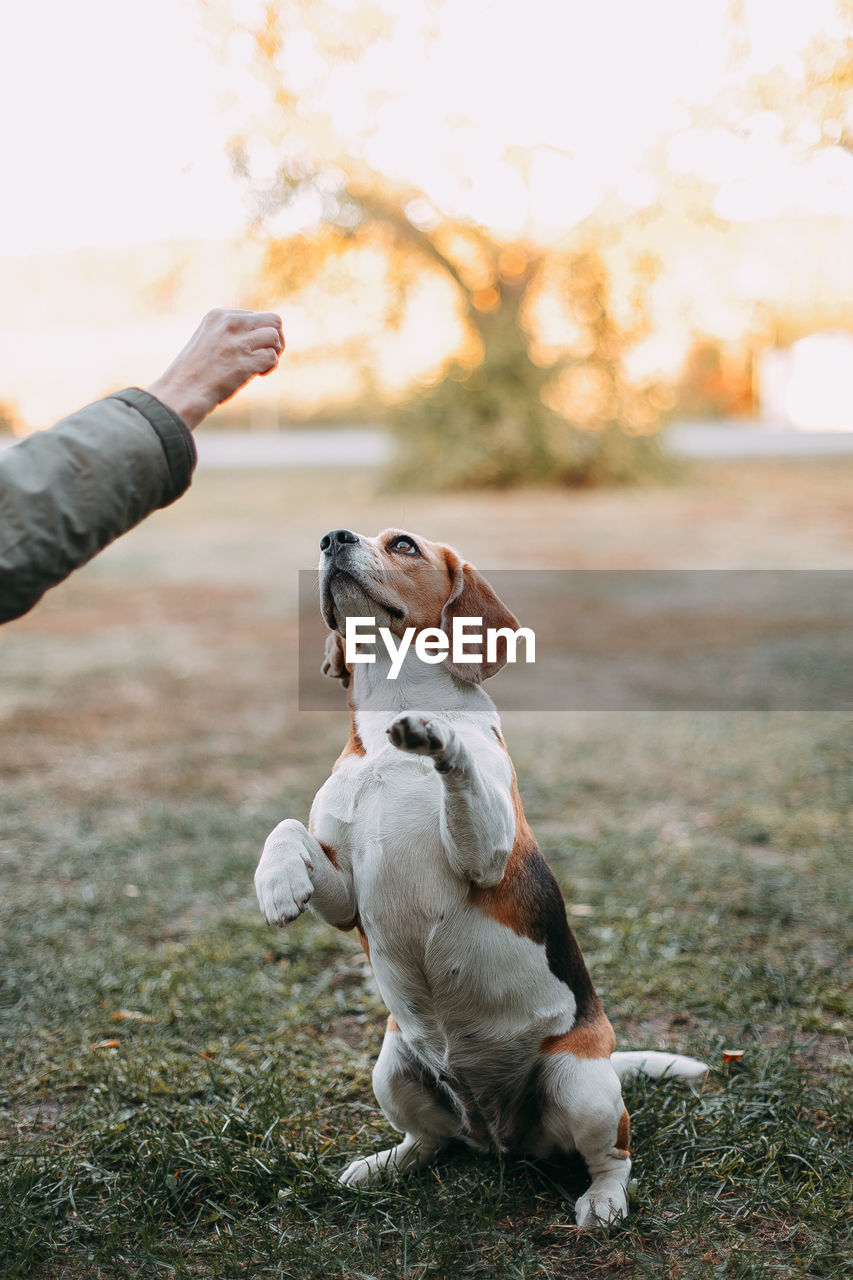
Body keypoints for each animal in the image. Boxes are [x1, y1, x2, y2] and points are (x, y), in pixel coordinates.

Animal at [253, 524, 701, 1223]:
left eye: (403, 544)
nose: (332, 537)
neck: (386, 741)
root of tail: (499, 1135)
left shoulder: (486, 852)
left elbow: (457, 765)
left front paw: (436, 732)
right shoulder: (347, 897)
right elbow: (286, 830)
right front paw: (277, 886)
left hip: (581, 1086)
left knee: (614, 1156)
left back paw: (602, 1202)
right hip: (392, 1069)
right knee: (433, 1140)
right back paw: (387, 1163)